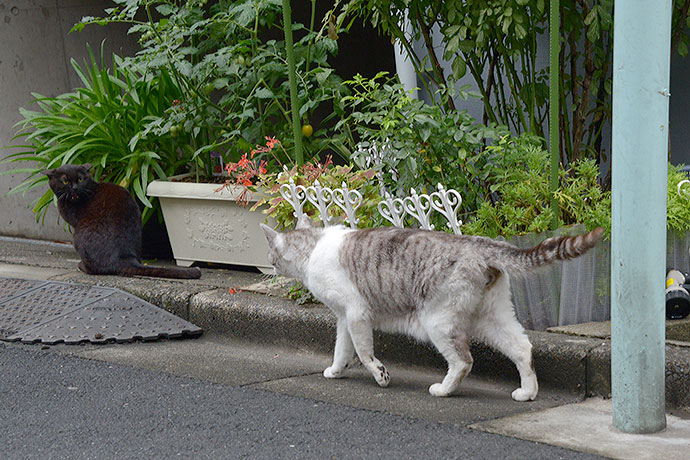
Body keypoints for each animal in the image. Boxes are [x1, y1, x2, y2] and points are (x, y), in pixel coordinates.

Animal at [42, 164, 200, 278]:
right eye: (64, 181)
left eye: (80, 179)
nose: (74, 188)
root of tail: (125, 257)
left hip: (78, 237)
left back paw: (81, 266)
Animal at [260, 218, 600, 398]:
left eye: (272, 257)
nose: (268, 268)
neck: (313, 248)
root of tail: (480, 243)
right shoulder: (344, 318)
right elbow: (342, 350)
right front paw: (335, 371)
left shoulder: (356, 313)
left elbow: (365, 353)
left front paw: (381, 376)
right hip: (493, 318)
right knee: (523, 349)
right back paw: (527, 393)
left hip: (438, 322)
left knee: (463, 361)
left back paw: (443, 390)